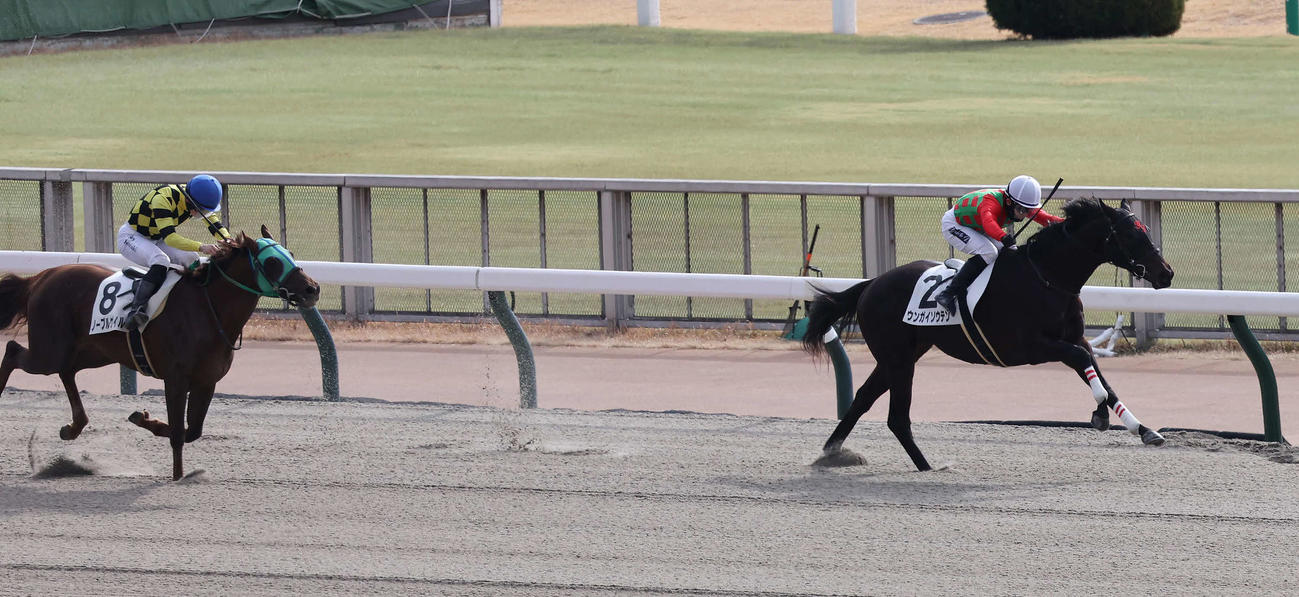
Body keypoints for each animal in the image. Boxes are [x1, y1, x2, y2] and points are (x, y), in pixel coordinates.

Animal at [0, 225, 320, 480]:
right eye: (273, 261)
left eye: (291, 253)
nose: (313, 289)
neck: (207, 308)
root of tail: (40, 277)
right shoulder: (175, 379)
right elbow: (179, 433)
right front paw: (177, 477)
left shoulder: (207, 381)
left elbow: (193, 431)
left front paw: (142, 419)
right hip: (50, 349)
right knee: (15, 352)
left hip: (94, 351)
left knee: (67, 370)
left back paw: (73, 427)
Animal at [802, 198, 1174, 471]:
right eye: (1131, 236)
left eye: (1145, 230)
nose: (1166, 273)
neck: (1046, 277)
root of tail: (870, 284)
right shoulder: (1031, 347)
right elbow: (1085, 363)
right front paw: (1098, 416)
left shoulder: (1073, 338)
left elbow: (1102, 379)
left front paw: (1145, 430)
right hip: (898, 359)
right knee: (896, 417)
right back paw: (927, 467)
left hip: (901, 355)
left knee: (864, 399)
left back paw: (834, 452)